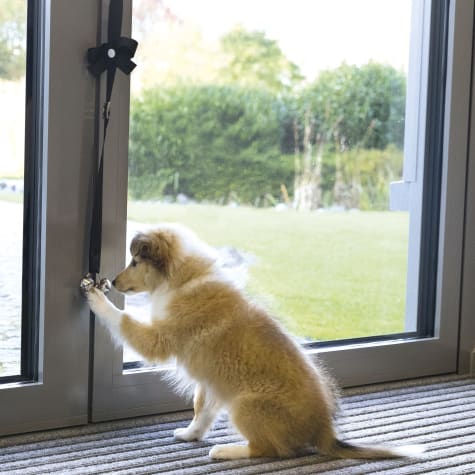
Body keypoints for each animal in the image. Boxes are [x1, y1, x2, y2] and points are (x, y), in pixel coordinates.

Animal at [83, 223, 422, 462]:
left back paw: (227, 450)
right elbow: (201, 409)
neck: (184, 279)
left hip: (245, 405)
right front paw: (190, 434)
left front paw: (96, 298)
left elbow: (123, 321)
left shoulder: (160, 338)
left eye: (135, 261)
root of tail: (324, 432)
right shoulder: (213, 381)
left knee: (270, 450)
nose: (113, 281)